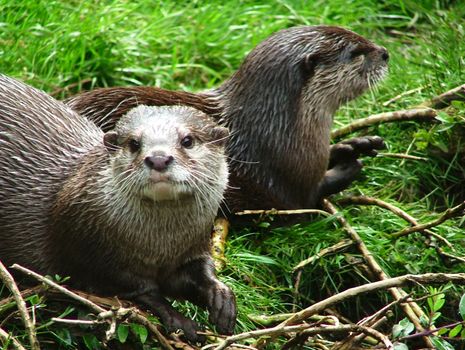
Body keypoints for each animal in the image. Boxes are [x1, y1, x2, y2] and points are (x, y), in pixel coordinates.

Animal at [0, 74, 234, 342]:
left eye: (188, 140)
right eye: (134, 143)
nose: (158, 158)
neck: (159, 245)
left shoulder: (193, 246)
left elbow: (198, 272)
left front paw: (222, 297)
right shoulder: (91, 253)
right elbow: (139, 290)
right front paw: (178, 318)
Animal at [66, 24, 388, 213]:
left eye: (359, 36)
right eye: (356, 52)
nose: (385, 52)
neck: (278, 130)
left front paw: (356, 144)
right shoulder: (292, 186)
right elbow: (311, 196)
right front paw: (348, 165)